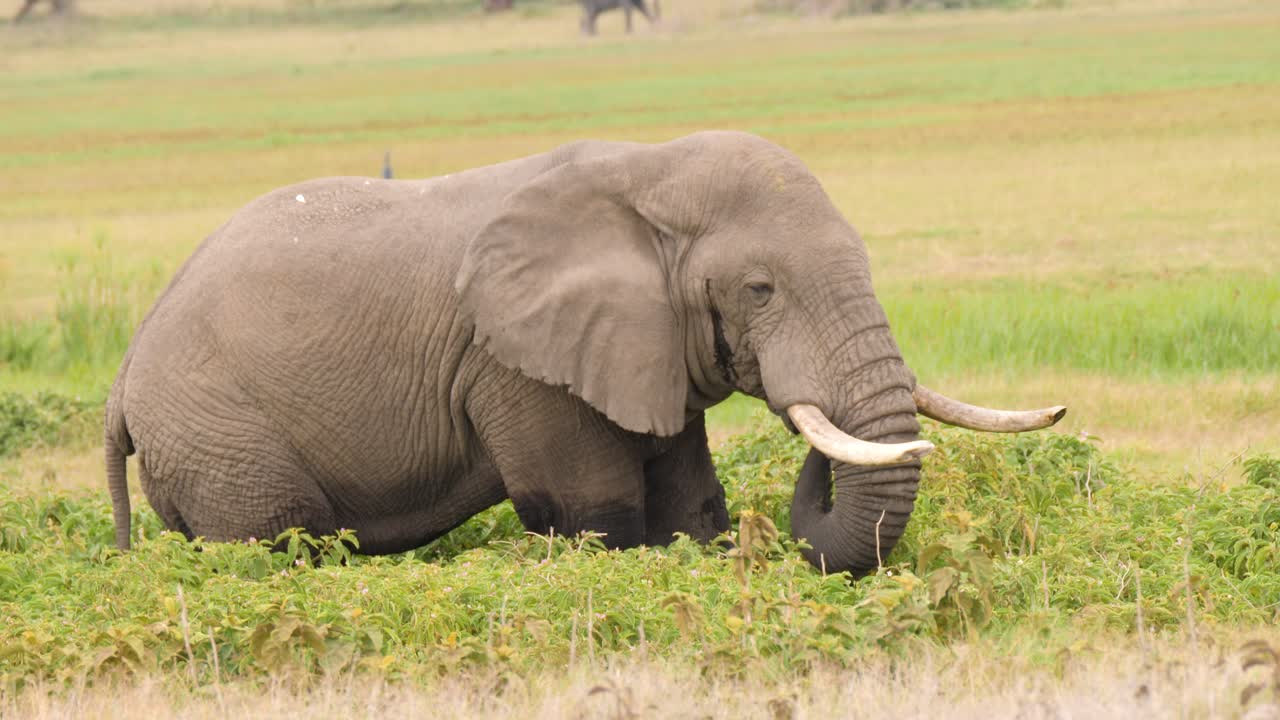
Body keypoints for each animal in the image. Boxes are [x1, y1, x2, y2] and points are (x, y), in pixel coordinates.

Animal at [104, 131, 1065, 575]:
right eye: (761, 290)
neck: (648, 171)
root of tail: (121, 380)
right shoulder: (516, 363)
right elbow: (593, 511)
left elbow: (688, 504)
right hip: (219, 434)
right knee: (271, 542)